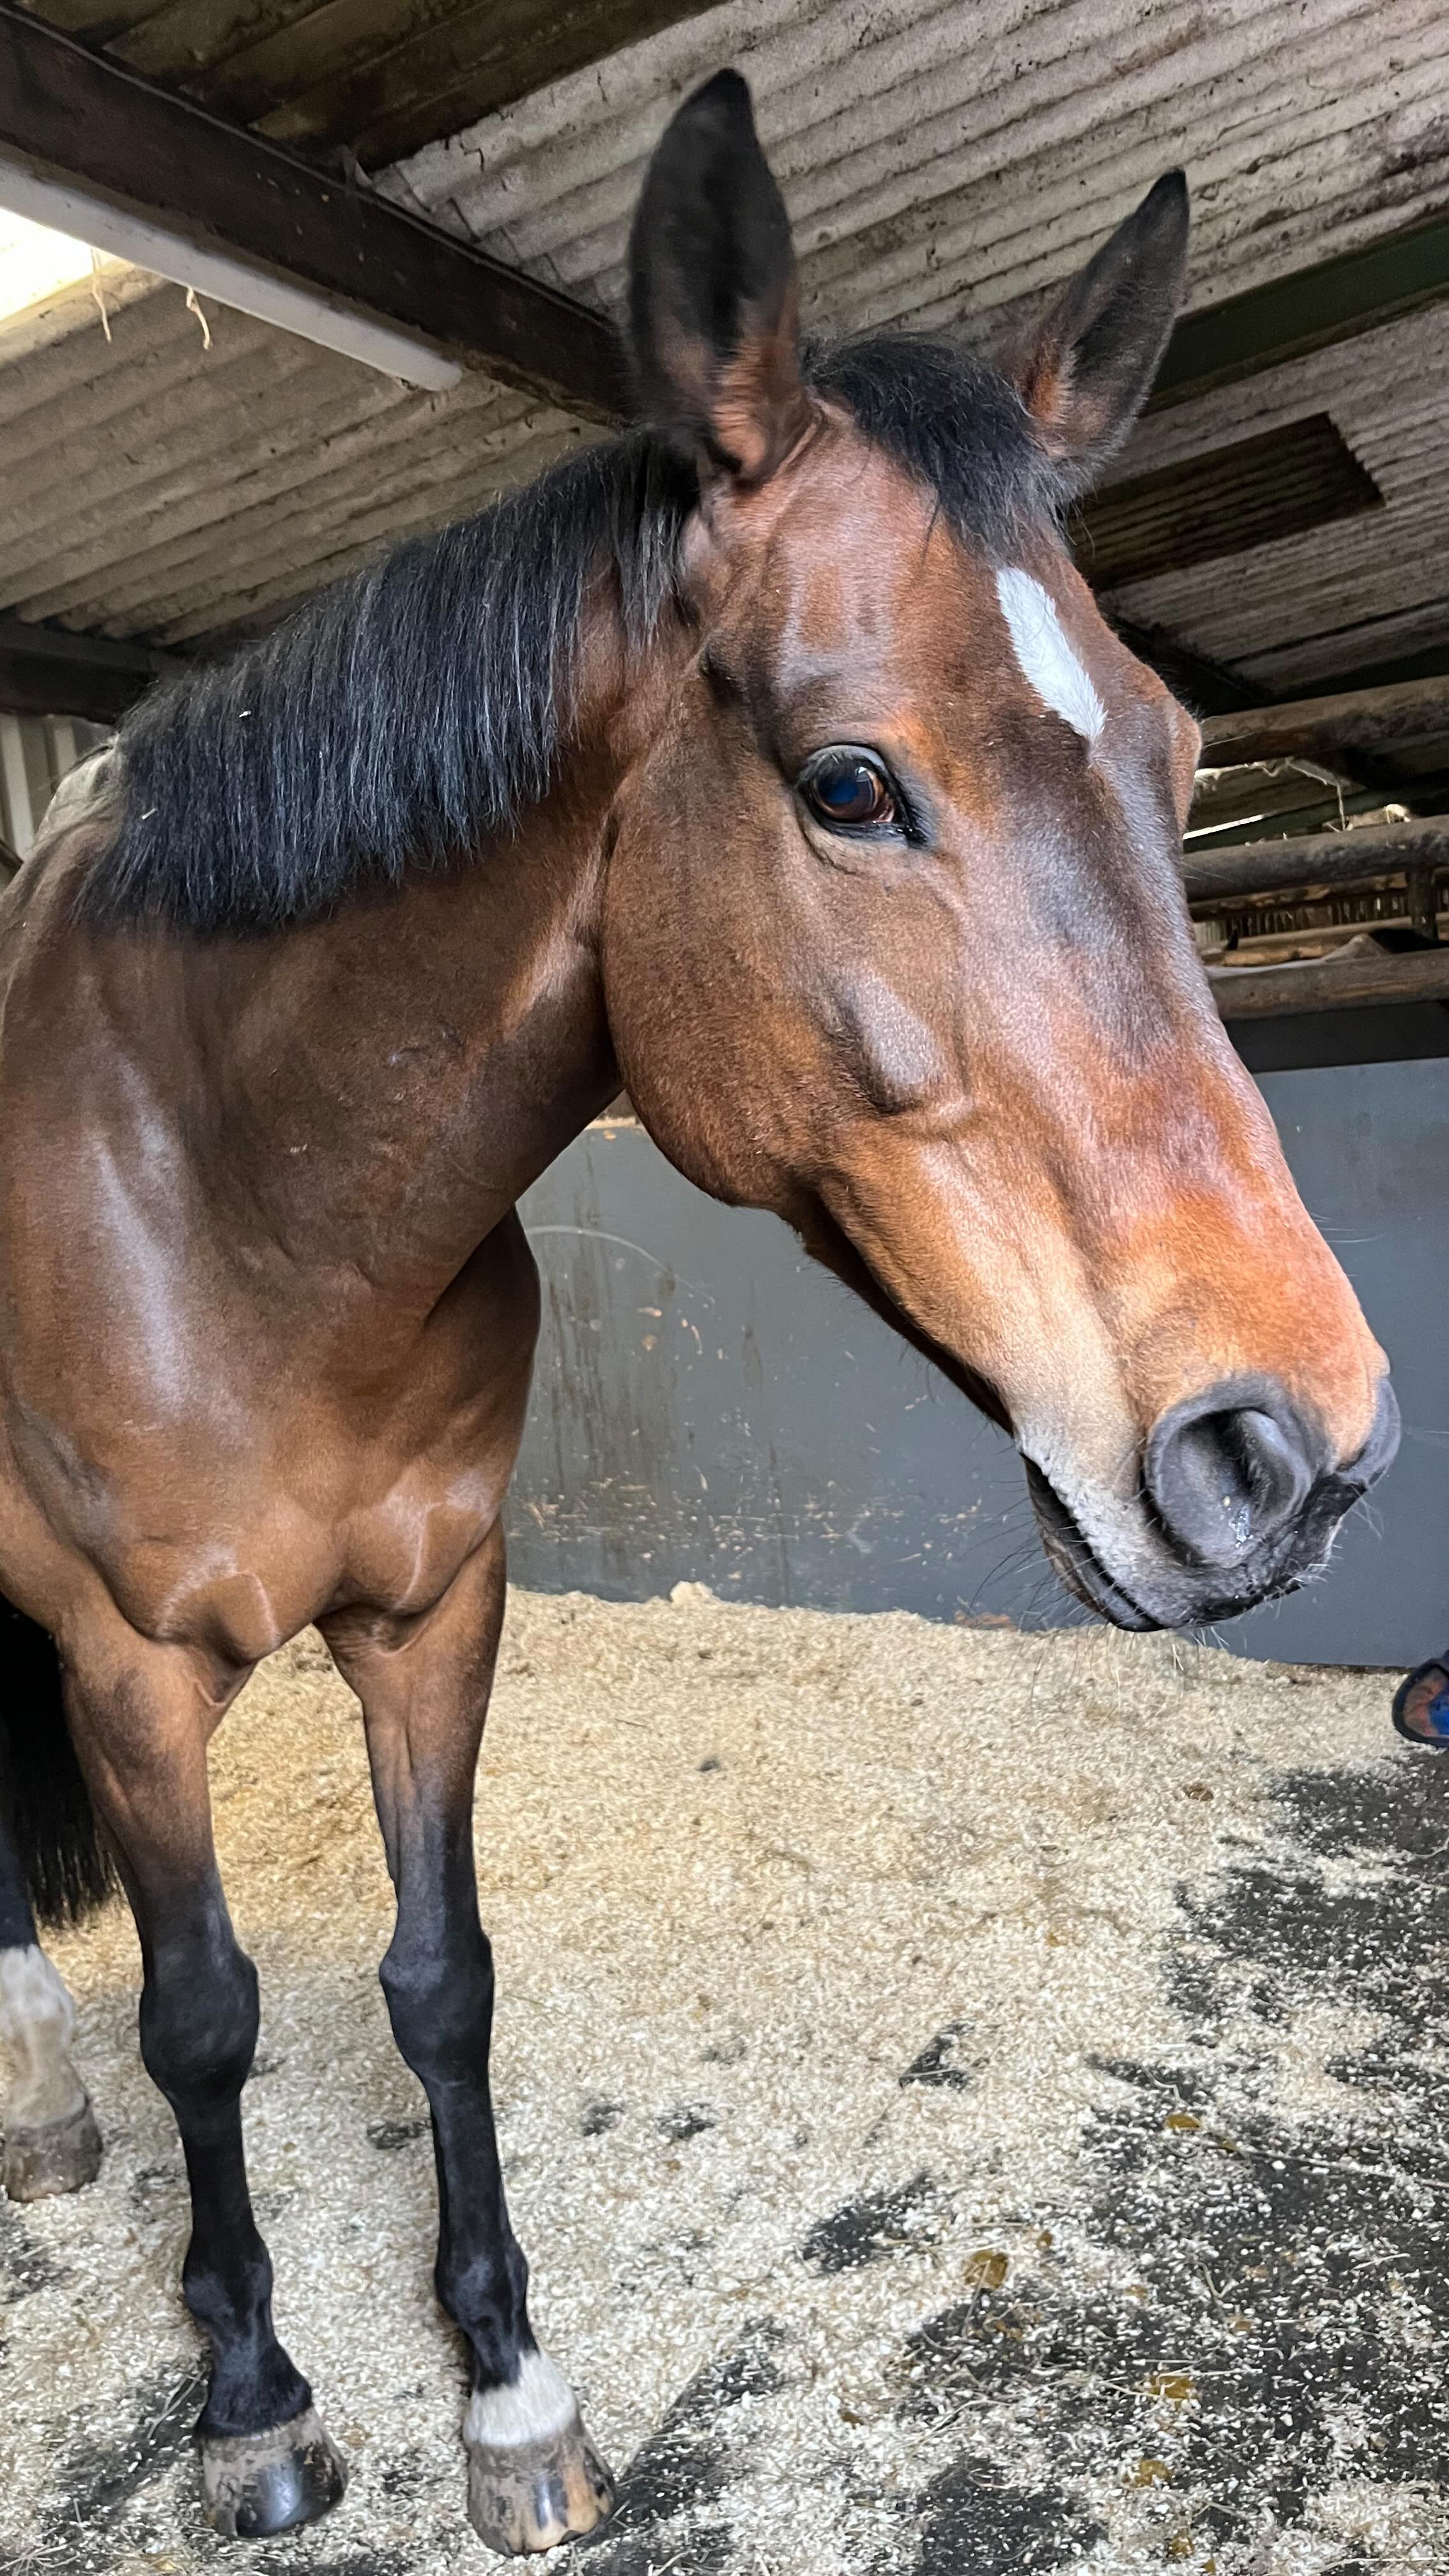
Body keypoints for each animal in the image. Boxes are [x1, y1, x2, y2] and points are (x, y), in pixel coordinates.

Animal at [0, 68, 1397, 2559]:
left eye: (1176, 765)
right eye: (851, 783)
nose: (1293, 1448)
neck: (232, 1193)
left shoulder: (436, 1605)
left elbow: (441, 1980)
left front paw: (505, 2382)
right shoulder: (124, 1668)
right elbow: (206, 2013)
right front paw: (251, 2389)